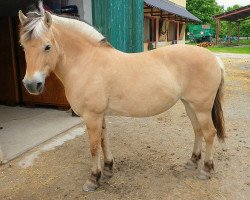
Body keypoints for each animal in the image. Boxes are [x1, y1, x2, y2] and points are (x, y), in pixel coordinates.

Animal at [17, 3, 225, 192]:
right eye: (23, 46)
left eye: (47, 46)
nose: (31, 85)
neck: (87, 62)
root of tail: (215, 59)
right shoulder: (99, 116)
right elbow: (104, 140)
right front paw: (108, 168)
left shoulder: (92, 116)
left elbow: (94, 146)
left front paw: (93, 179)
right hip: (190, 105)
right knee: (198, 131)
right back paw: (192, 161)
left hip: (202, 108)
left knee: (209, 133)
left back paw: (206, 170)